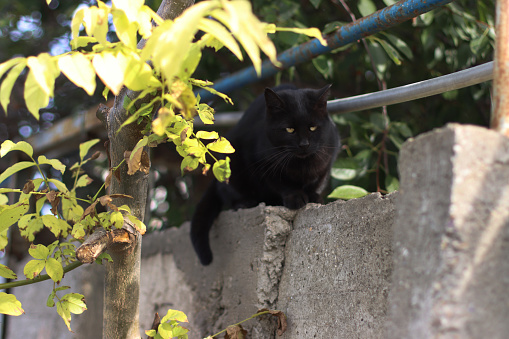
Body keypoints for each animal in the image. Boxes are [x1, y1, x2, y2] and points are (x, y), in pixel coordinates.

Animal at [190, 85, 338, 266]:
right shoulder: (261, 164)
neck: (301, 165)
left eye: (313, 128)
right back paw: (246, 203)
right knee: (229, 194)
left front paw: (314, 197)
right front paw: (295, 198)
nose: (304, 144)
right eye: (290, 129)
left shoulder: (329, 156)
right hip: (229, 160)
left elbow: (317, 181)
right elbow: (281, 184)